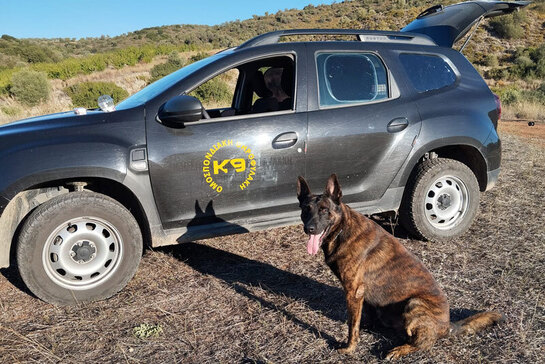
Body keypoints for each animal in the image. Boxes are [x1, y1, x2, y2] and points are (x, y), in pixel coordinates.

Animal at [298, 175, 502, 360]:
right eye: (306, 210)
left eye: (324, 210)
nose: (309, 228)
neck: (341, 230)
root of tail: (448, 325)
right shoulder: (362, 293)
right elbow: (361, 317)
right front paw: (365, 327)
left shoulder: (353, 291)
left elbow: (351, 326)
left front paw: (349, 348)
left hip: (414, 303)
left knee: (422, 343)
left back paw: (399, 349)